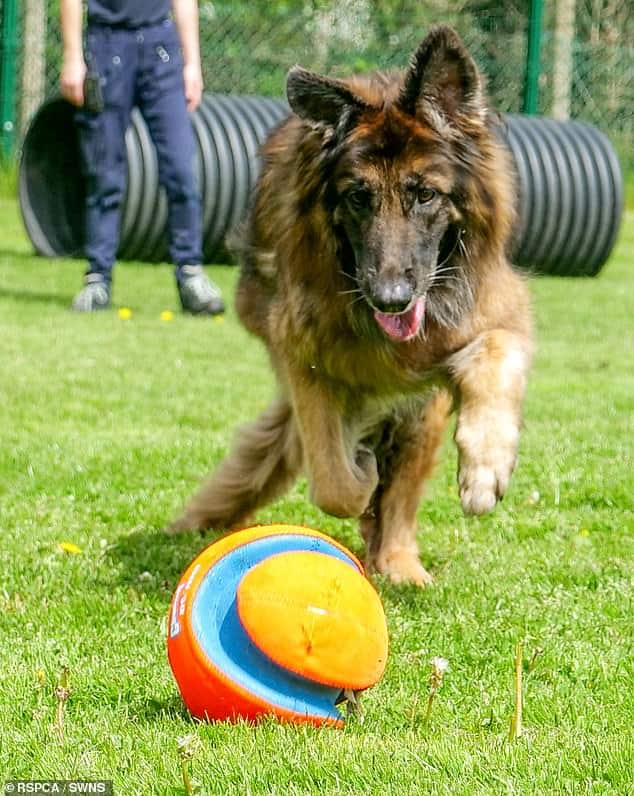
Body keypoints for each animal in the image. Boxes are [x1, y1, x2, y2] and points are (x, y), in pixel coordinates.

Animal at [170, 26, 532, 584]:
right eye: (359, 197)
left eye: (425, 195)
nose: (391, 299)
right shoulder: (305, 360)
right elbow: (336, 483)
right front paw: (360, 472)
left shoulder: (492, 314)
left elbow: (498, 354)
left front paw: (485, 471)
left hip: (422, 413)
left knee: (402, 494)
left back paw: (400, 561)